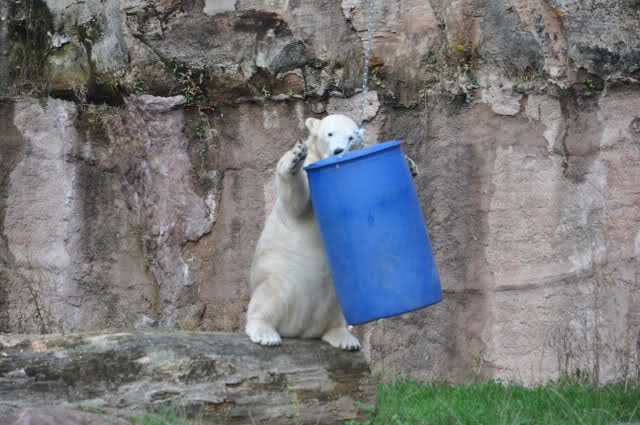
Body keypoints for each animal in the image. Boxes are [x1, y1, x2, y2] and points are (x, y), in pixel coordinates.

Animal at [245, 114, 418, 350]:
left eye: (351, 137)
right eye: (330, 133)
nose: (338, 151)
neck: (322, 157)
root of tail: (300, 329)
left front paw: (410, 165)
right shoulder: (311, 170)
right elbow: (296, 202)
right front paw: (294, 157)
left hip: (336, 293)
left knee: (336, 312)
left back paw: (345, 338)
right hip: (279, 275)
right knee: (269, 296)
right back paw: (264, 333)